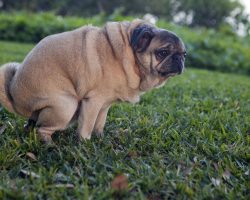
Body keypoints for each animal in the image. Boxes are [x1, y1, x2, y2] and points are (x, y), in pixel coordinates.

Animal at [0, 19, 186, 142]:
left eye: (184, 54)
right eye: (162, 52)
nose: (179, 59)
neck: (128, 55)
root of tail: (16, 101)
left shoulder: (105, 104)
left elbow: (99, 123)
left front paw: (100, 137)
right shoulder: (93, 102)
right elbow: (87, 126)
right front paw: (84, 144)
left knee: (31, 125)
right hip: (66, 106)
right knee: (42, 129)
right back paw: (48, 144)